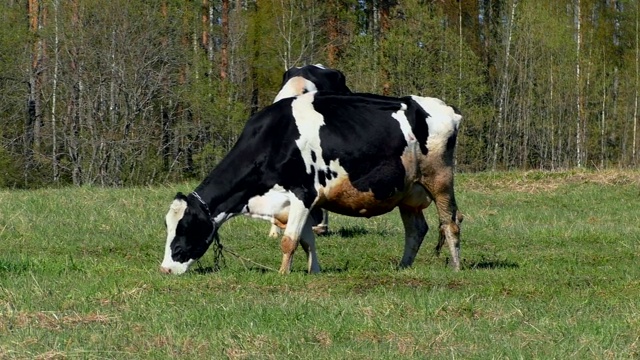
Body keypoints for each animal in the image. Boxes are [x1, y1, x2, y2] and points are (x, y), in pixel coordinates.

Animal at [159, 90, 460, 276]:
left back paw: (456, 267)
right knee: (416, 230)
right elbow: (307, 241)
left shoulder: (303, 193)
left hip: (440, 180)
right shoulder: (293, 203)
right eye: (168, 226)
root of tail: (445, 109)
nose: (165, 269)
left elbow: (289, 241)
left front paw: (283, 274)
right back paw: (403, 266)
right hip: (407, 192)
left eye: (185, 227)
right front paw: (313, 271)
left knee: (450, 223)